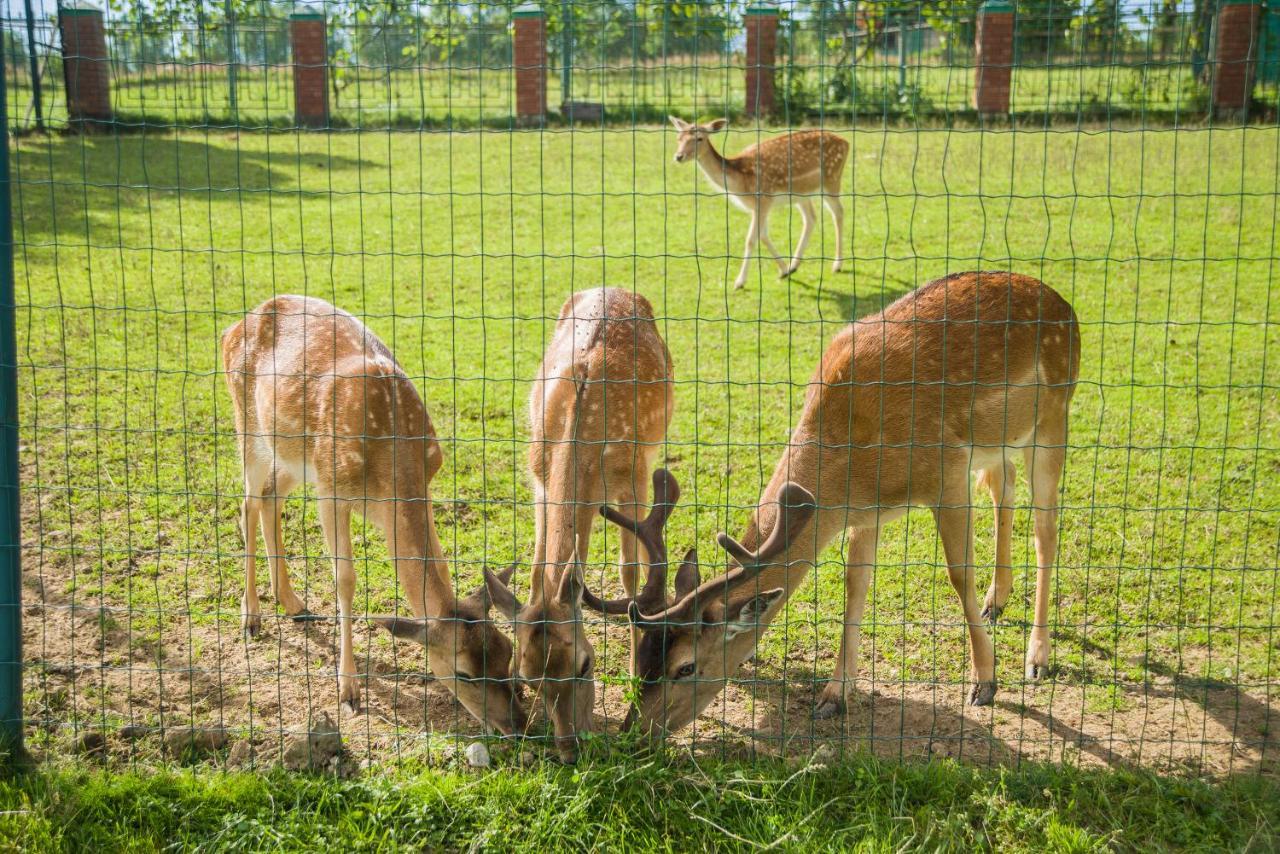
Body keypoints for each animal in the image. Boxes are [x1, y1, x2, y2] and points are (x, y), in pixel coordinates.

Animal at [221, 295, 524, 737]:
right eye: (464, 673)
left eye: (507, 651)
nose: (517, 723)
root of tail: (232, 327)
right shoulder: (331, 490)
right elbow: (345, 580)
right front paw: (348, 691)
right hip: (248, 423)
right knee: (248, 502)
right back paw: (252, 618)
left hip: (292, 453)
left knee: (270, 499)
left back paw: (293, 603)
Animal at [481, 286, 680, 763]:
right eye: (529, 676)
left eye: (585, 665)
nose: (569, 749)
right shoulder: (538, 479)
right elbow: (538, 571)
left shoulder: (635, 480)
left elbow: (631, 575)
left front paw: (637, 670)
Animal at [586, 272, 1080, 737]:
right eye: (639, 657)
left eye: (685, 666)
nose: (633, 730)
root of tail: (1063, 304)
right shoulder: (867, 512)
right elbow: (855, 585)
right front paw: (832, 695)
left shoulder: (948, 472)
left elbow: (959, 575)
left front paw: (985, 683)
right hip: (1002, 443)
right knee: (1004, 489)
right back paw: (998, 601)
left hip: (1054, 416)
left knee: (1046, 530)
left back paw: (1037, 657)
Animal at [670, 117, 849, 290]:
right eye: (678, 138)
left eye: (699, 138)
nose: (678, 156)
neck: (741, 182)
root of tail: (846, 142)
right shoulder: (758, 207)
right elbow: (762, 235)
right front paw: (784, 270)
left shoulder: (763, 200)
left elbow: (751, 239)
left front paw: (739, 282)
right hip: (802, 194)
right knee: (811, 218)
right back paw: (794, 265)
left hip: (831, 179)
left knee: (838, 212)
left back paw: (837, 265)